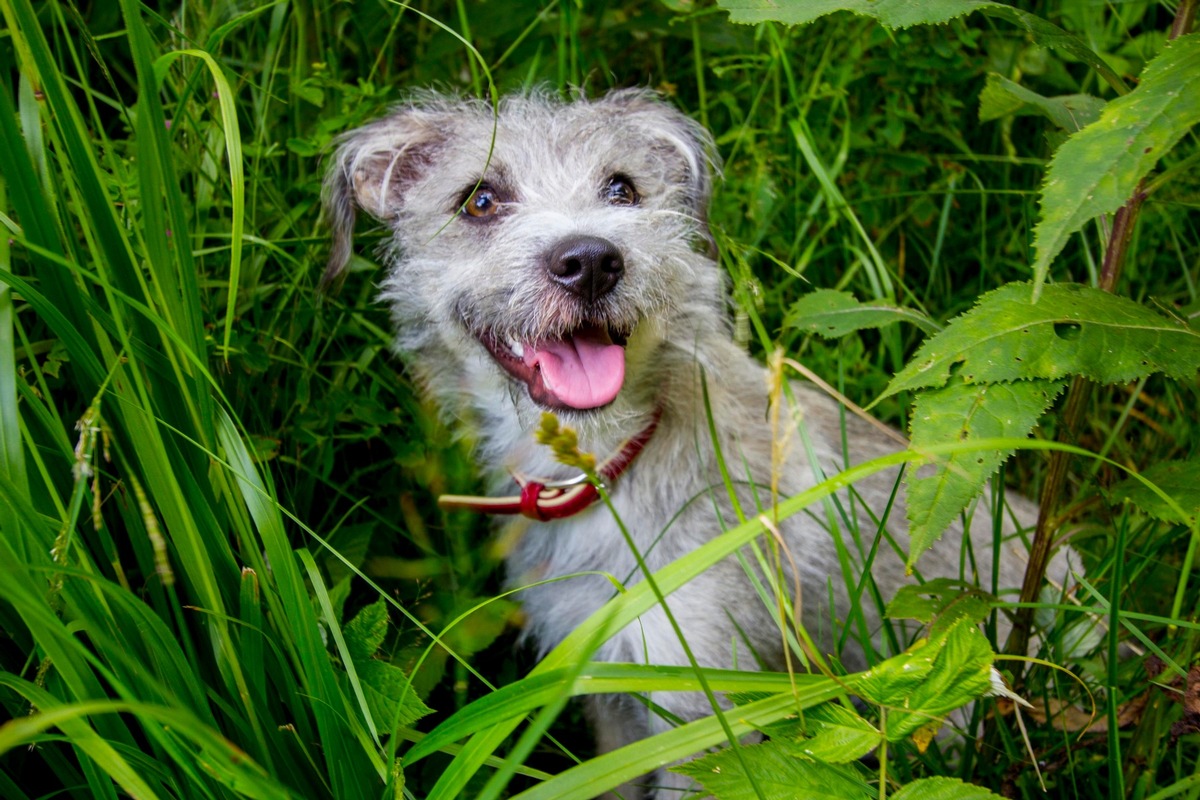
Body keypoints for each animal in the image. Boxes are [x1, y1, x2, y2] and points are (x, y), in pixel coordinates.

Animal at [324, 84, 1075, 796]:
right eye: (479, 200)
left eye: (622, 188)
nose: (591, 260)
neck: (608, 465)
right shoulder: (610, 698)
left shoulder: (701, 718)